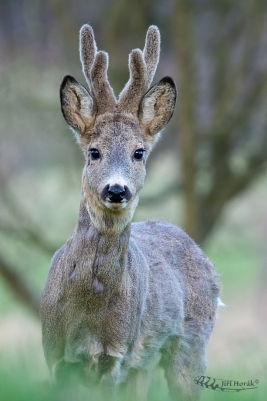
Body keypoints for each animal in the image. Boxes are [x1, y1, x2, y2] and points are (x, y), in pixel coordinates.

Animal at [39, 25, 220, 400]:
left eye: (139, 152)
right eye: (94, 151)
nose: (116, 190)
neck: (88, 311)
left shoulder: (117, 357)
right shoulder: (54, 356)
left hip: (190, 344)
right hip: (143, 365)